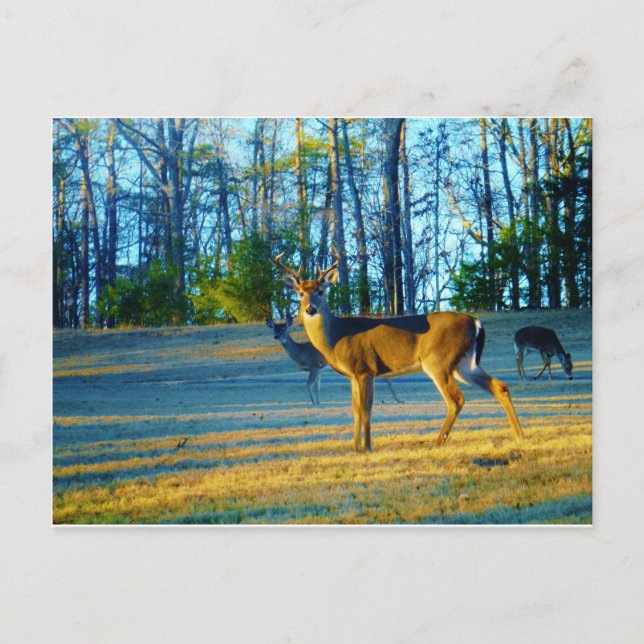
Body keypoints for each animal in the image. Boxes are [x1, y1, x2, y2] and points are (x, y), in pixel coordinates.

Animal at [266, 314, 404, 405]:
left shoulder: (314, 365)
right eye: (274, 328)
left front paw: (314, 403)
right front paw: (318, 403)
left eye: (284, 328)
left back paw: (398, 399)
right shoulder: (319, 369)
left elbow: (308, 385)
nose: (276, 336)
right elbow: (317, 387)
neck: (301, 352)